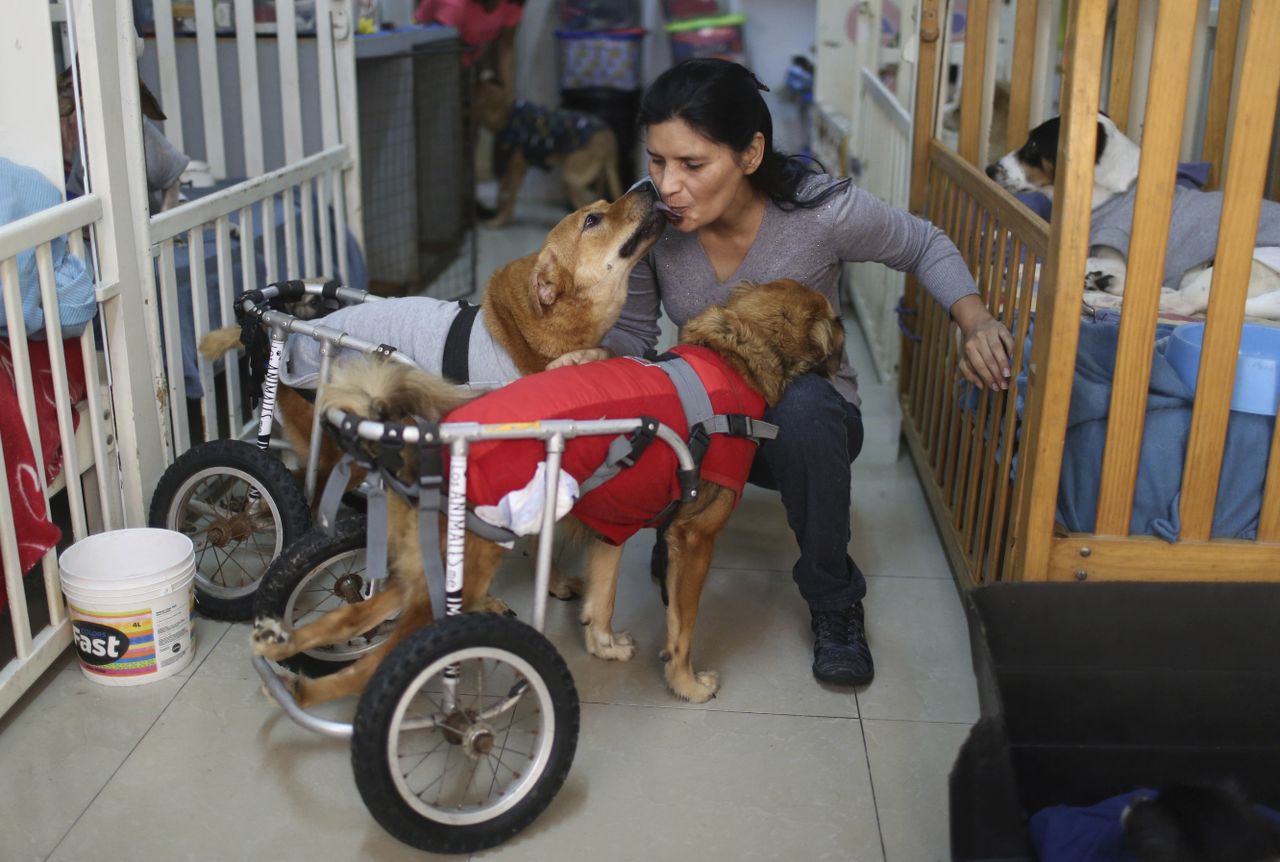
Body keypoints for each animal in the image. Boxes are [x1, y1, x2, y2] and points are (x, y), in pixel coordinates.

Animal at [252, 277, 849, 707]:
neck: (735, 356)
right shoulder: (694, 539)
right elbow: (683, 625)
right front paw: (686, 683)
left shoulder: (615, 522)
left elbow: (602, 597)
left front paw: (602, 644)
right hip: (459, 574)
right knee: (377, 666)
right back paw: (310, 691)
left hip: (422, 571)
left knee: (348, 619)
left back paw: (282, 645)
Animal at [473, 79, 627, 227]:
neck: (506, 111)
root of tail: (609, 138)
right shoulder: (515, 168)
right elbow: (503, 192)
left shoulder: (516, 167)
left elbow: (508, 196)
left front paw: (498, 221)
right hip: (599, 178)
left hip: (572, 179)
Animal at [988, 110, 1280, 318]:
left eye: (1033, 144)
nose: (990, 169)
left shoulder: (1117, 256)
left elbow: (1044, 265)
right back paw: (1104, 284)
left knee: (1180, 303)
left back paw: (1098, 295)